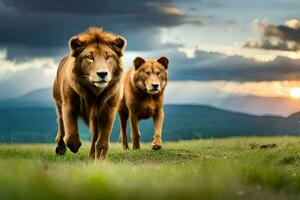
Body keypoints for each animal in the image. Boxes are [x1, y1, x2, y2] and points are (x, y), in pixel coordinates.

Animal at [52, 27, 125, 160]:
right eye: (90, 57)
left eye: (108, 57)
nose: (102, 73)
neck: (94, 92)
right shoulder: (69, 104)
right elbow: (70, 133)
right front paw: (74, 146)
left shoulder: (108, 109)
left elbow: (102, 140)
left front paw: (100, 159)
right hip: (59, 103)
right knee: (61, 124)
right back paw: (61, 148)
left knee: (95, 135)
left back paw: (92, 156)